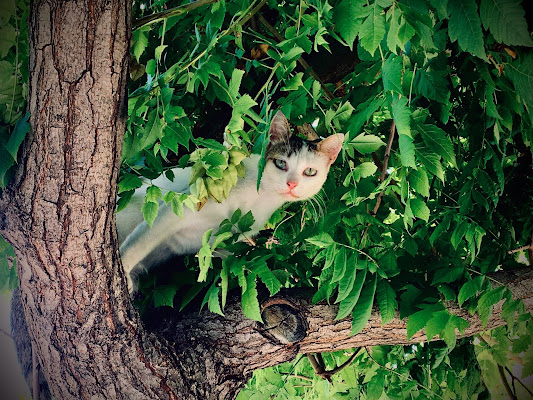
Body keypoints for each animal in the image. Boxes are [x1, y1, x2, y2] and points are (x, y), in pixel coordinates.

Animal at [117, 111, 344, 292]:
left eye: (310, 171)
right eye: (281, 163)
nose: (292, 184)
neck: (261, 198)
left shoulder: (223, 242)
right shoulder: (179, 208)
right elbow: (142, 240)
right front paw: (123, 265)